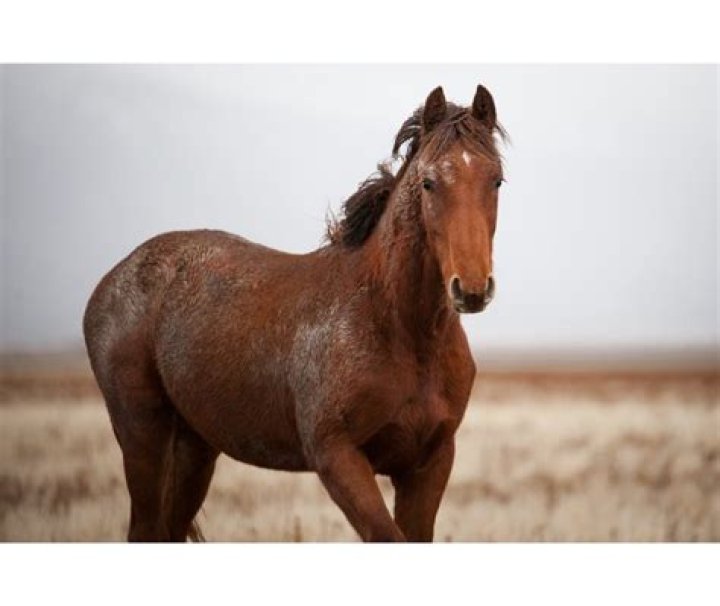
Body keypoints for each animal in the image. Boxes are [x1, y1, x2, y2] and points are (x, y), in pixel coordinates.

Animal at [83, 84, 506, 542]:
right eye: (428, 182)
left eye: (497, 179)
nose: (472, 288)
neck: (402, 332)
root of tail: (114, 278)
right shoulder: (337, 457)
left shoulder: (428, 463)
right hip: (143, 434)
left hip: (194, 448)